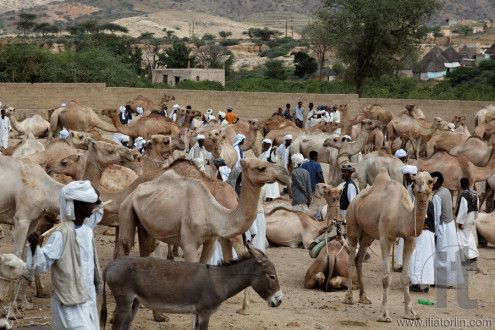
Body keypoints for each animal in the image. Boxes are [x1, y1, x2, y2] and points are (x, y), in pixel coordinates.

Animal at [101, 244, 280, 328]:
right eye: (272, 276)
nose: (279, 301)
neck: (220, 279)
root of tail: (111, 265)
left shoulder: (197, 313)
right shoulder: (205, 312)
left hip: (135, 302)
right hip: (124, 301)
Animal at [342, 170, 436, 322]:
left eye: (430, 181)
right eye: (415, 180)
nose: (420, 186)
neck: (403, 215)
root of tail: (356, 199)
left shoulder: (410, 239)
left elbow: (406, 277)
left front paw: (410, 313)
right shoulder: (386, 238)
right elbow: (386, 278)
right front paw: (384, 315)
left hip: (368, 235)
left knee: (359, 258)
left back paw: (363, 297)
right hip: (352, 222)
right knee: (351, 258)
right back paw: (349, 297)